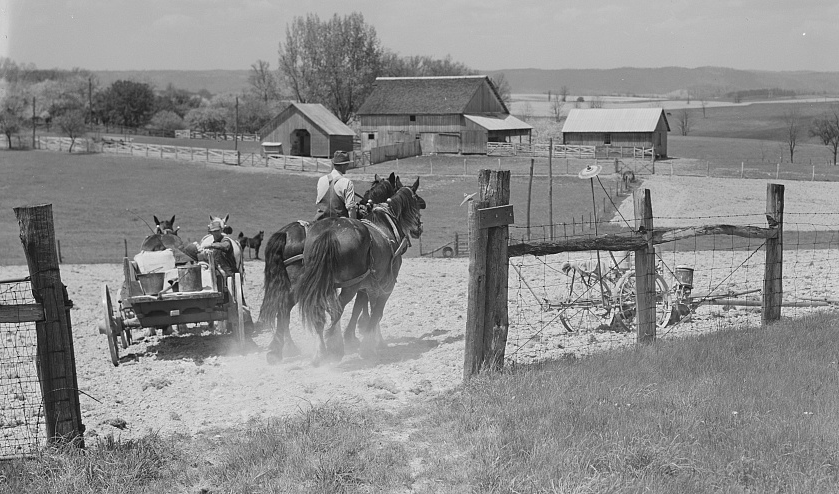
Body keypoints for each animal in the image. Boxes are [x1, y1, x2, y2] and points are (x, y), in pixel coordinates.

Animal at [296, 179, 426, 364]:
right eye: (415, 201)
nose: (418, 228)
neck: (384, 223)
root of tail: (329, 231)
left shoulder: (368, 286)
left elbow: (366, 309)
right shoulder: (385, 285)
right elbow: (376, 312)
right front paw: (368, 346)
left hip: (322, 284)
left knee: (319, 311)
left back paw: (321, 353)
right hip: (350, 286)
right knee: (336, 310)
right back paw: (334, 348)